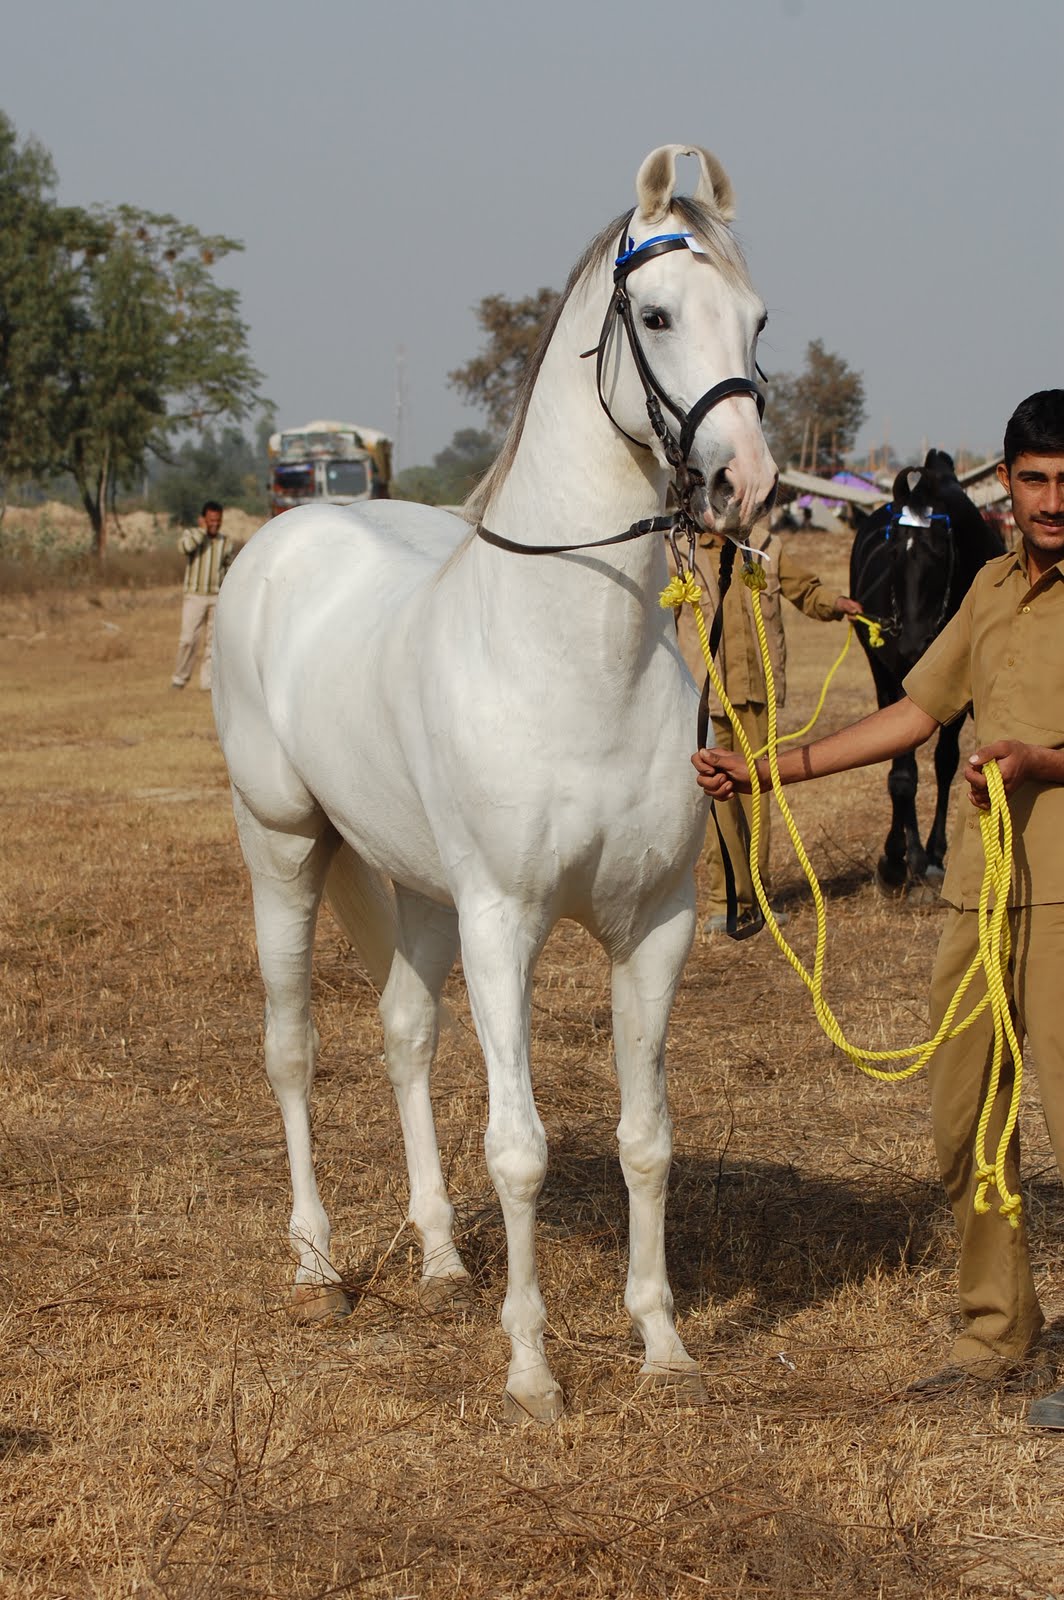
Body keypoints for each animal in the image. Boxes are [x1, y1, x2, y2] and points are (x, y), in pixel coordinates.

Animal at [212, 144, 777, 1423]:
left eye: (756, 319)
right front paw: (532, 1372)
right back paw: (318, 1266)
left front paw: (660, 1341)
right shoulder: (501, 923)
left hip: (415, 888)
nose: (747, 485)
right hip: (285, 849)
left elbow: (643, 1136)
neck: (572, 661)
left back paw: (435, 1259)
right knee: (291, 1049)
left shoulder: (653, 923)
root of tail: (288, 536)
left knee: (404, 1035)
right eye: (655, 314)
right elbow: (517, 1147)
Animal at [849, 450, 1004, 894]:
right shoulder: (897, 679)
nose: (913, 645)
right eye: (893, 552)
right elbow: (902, 773)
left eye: (938, 551)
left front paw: (931, 855)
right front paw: (898, 858)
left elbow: (946, 762)